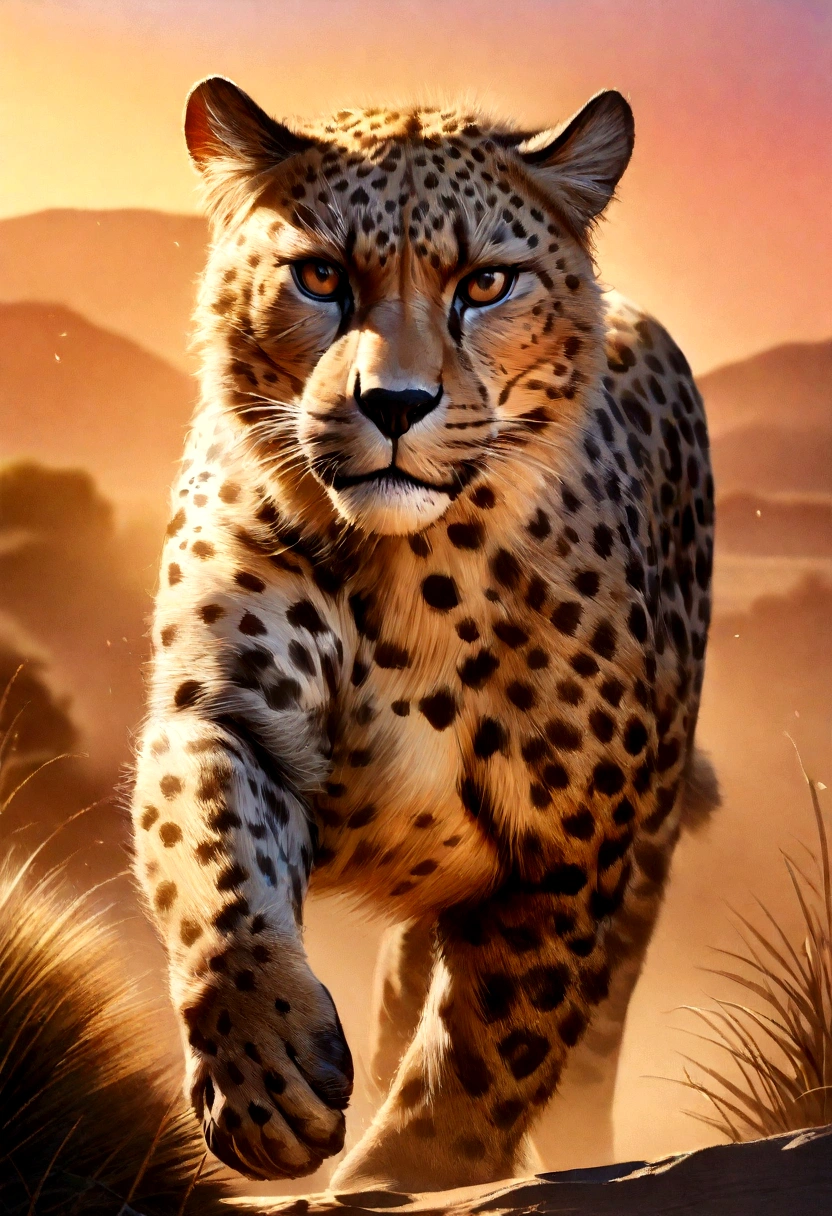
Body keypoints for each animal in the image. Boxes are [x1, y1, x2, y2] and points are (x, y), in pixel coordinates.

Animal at [130, 76, 719, 1195]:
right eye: (320, 274)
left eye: (485, 283)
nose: (395, 403)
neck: (409, 579)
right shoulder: (224, 713)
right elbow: (210, 864)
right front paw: (264, 1078)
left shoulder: (569, 845)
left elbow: (495, 1046)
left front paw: (401, 1173)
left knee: (580, 1053)